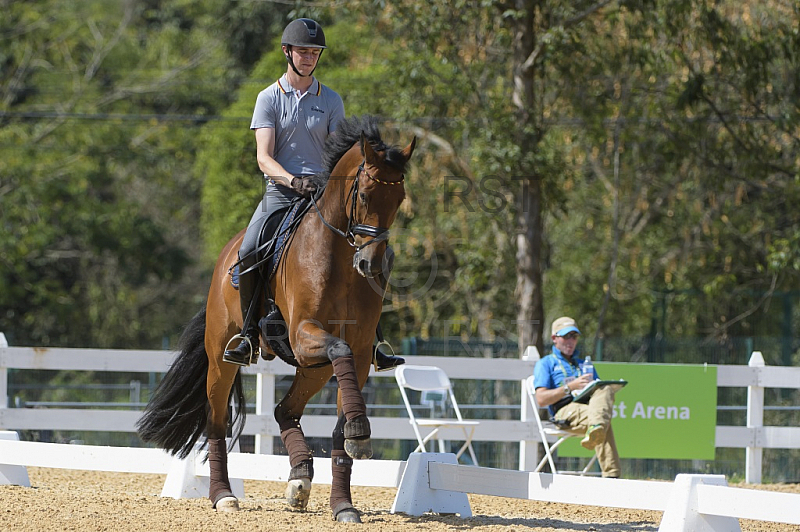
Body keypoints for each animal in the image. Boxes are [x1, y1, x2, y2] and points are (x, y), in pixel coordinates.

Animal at [137, 114, 416, 520]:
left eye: (400, 199)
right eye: (364, 195)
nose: (371, 265)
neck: (337, 256)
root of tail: (228, 253)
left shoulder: (362, 351)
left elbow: (339, 420)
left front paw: (344, 501)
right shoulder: (303, 335)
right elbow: (340, 350)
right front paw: (360, 432)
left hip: (312, 368)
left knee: (285, 410)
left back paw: (299, 478)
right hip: (223, 358)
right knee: (216, 422)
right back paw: (223, 496)